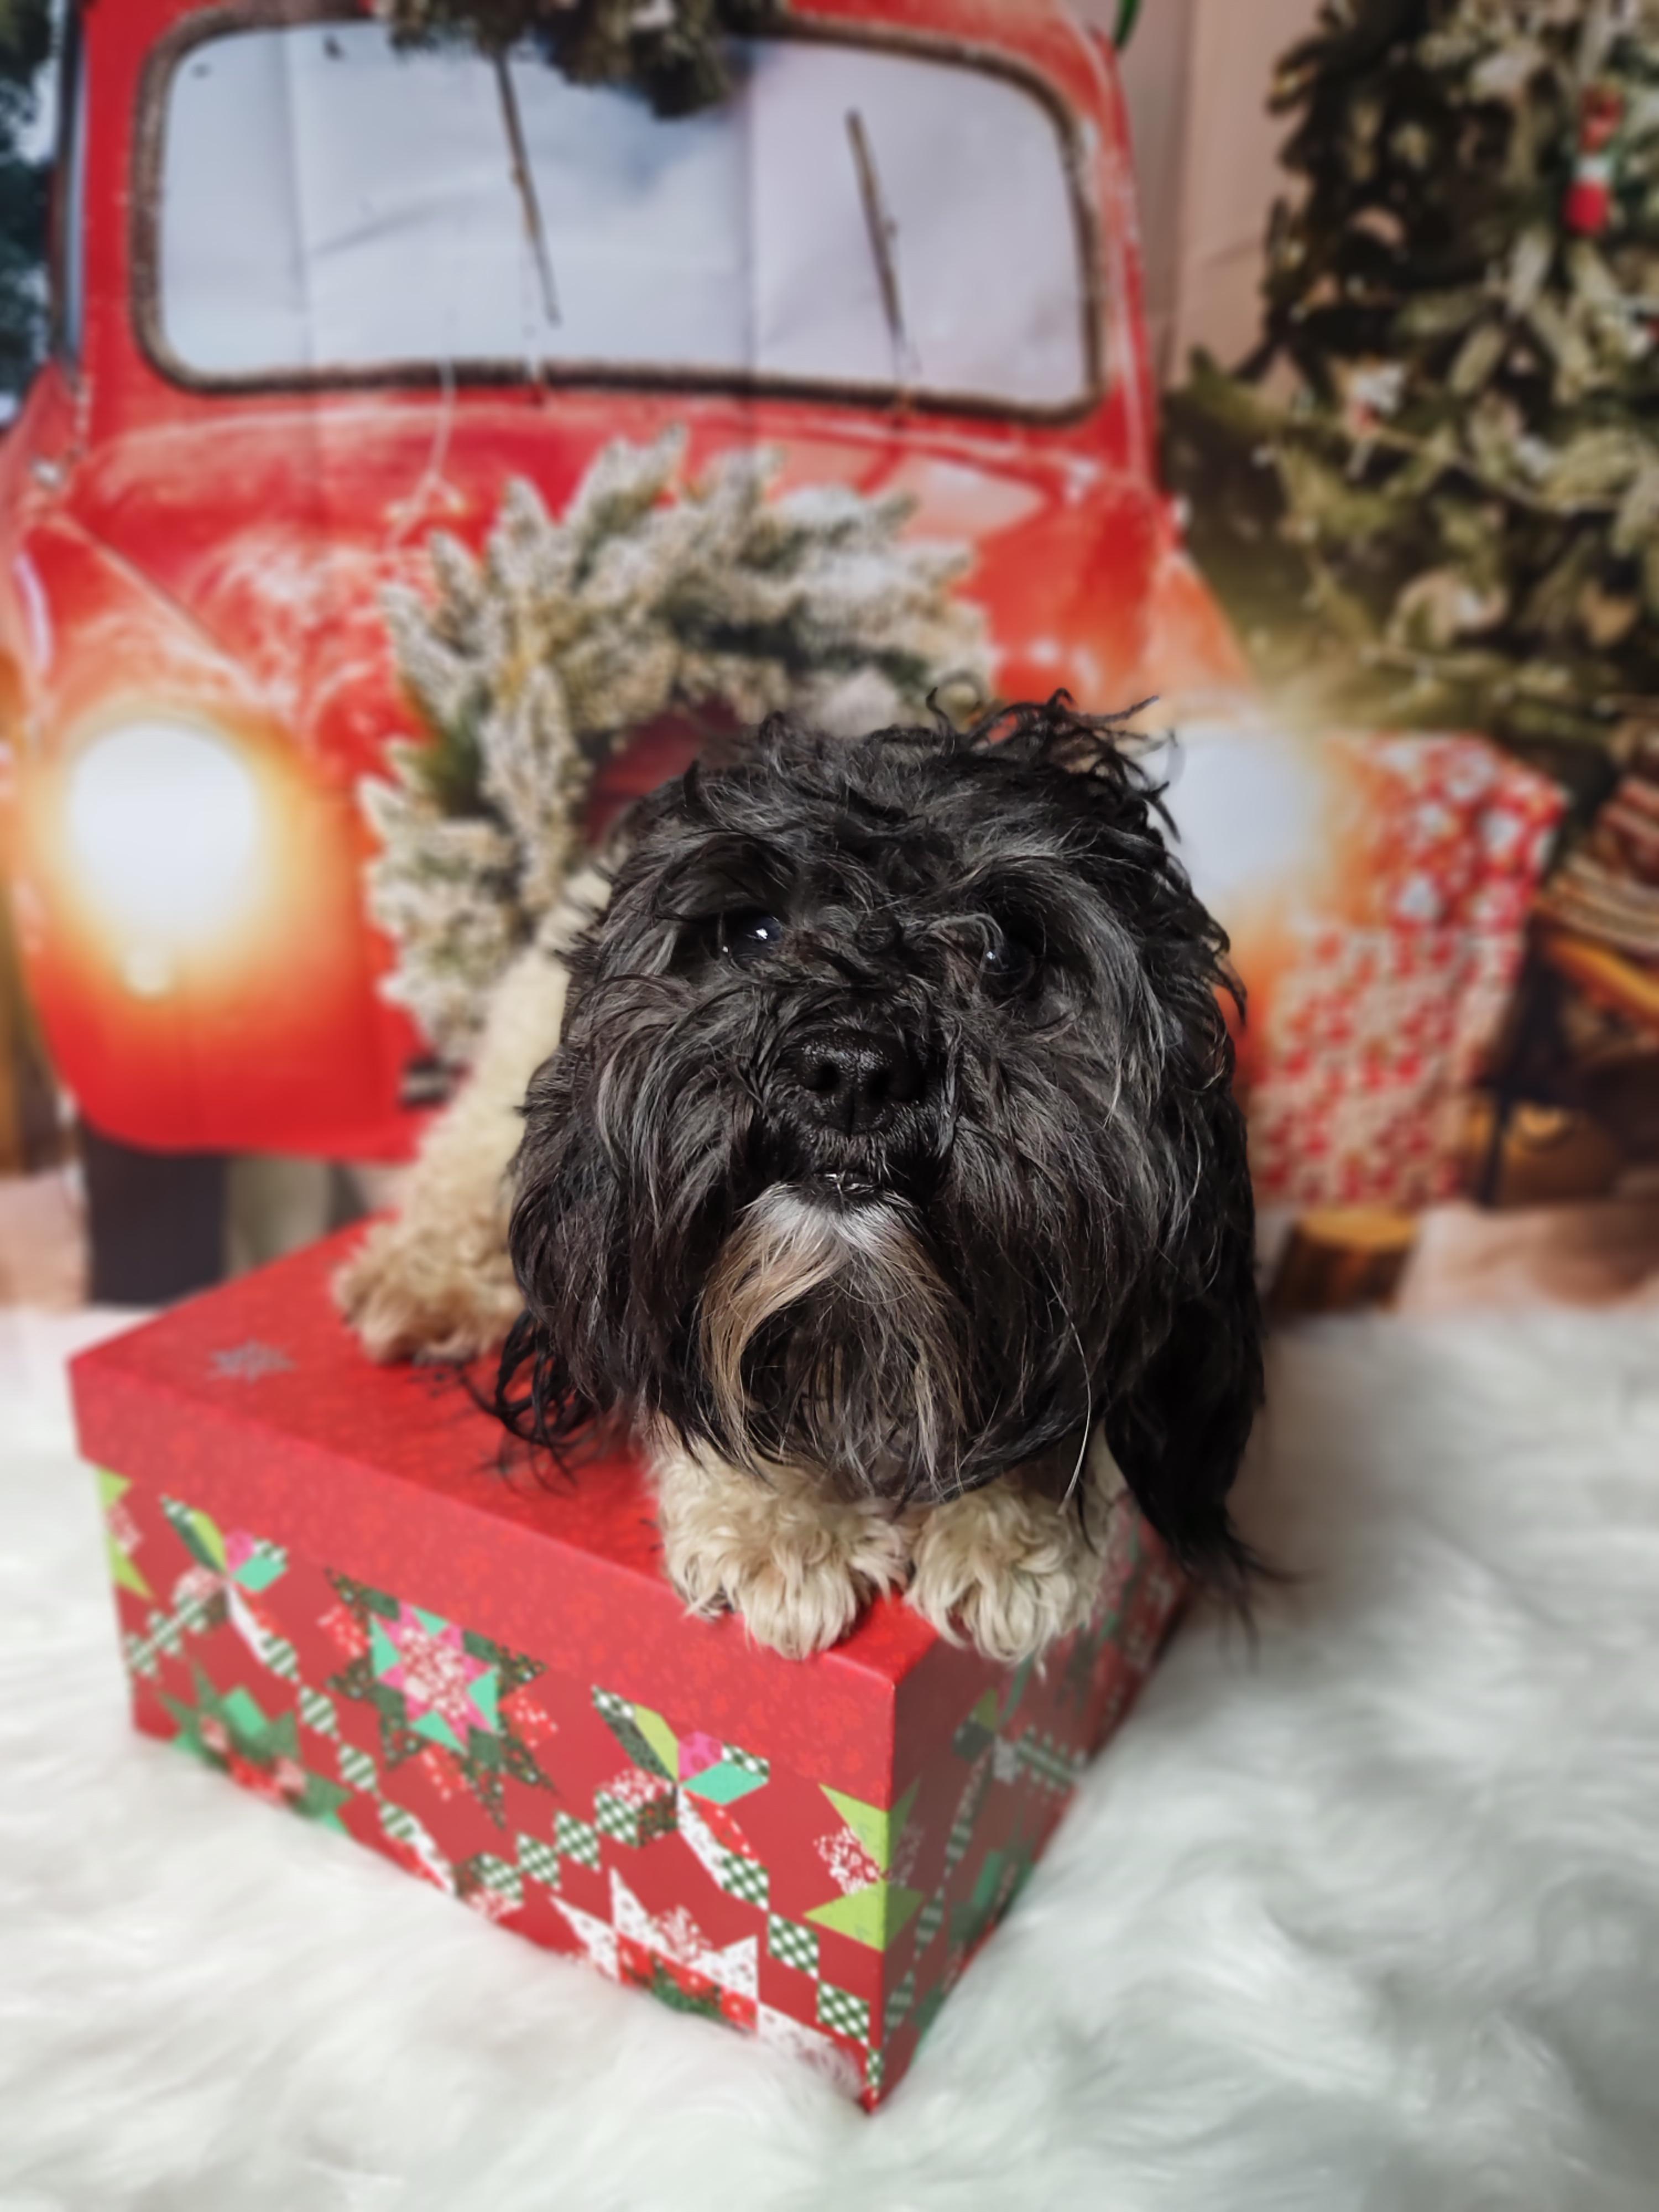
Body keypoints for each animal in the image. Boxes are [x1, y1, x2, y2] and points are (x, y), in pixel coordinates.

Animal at [338, 698, 1263, 1663]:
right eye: (752, 934)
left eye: (1006, 954)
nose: (851, 1068)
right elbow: (696, 1385)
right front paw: (777, 1524)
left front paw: (1012, 1526)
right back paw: (423, 1279)